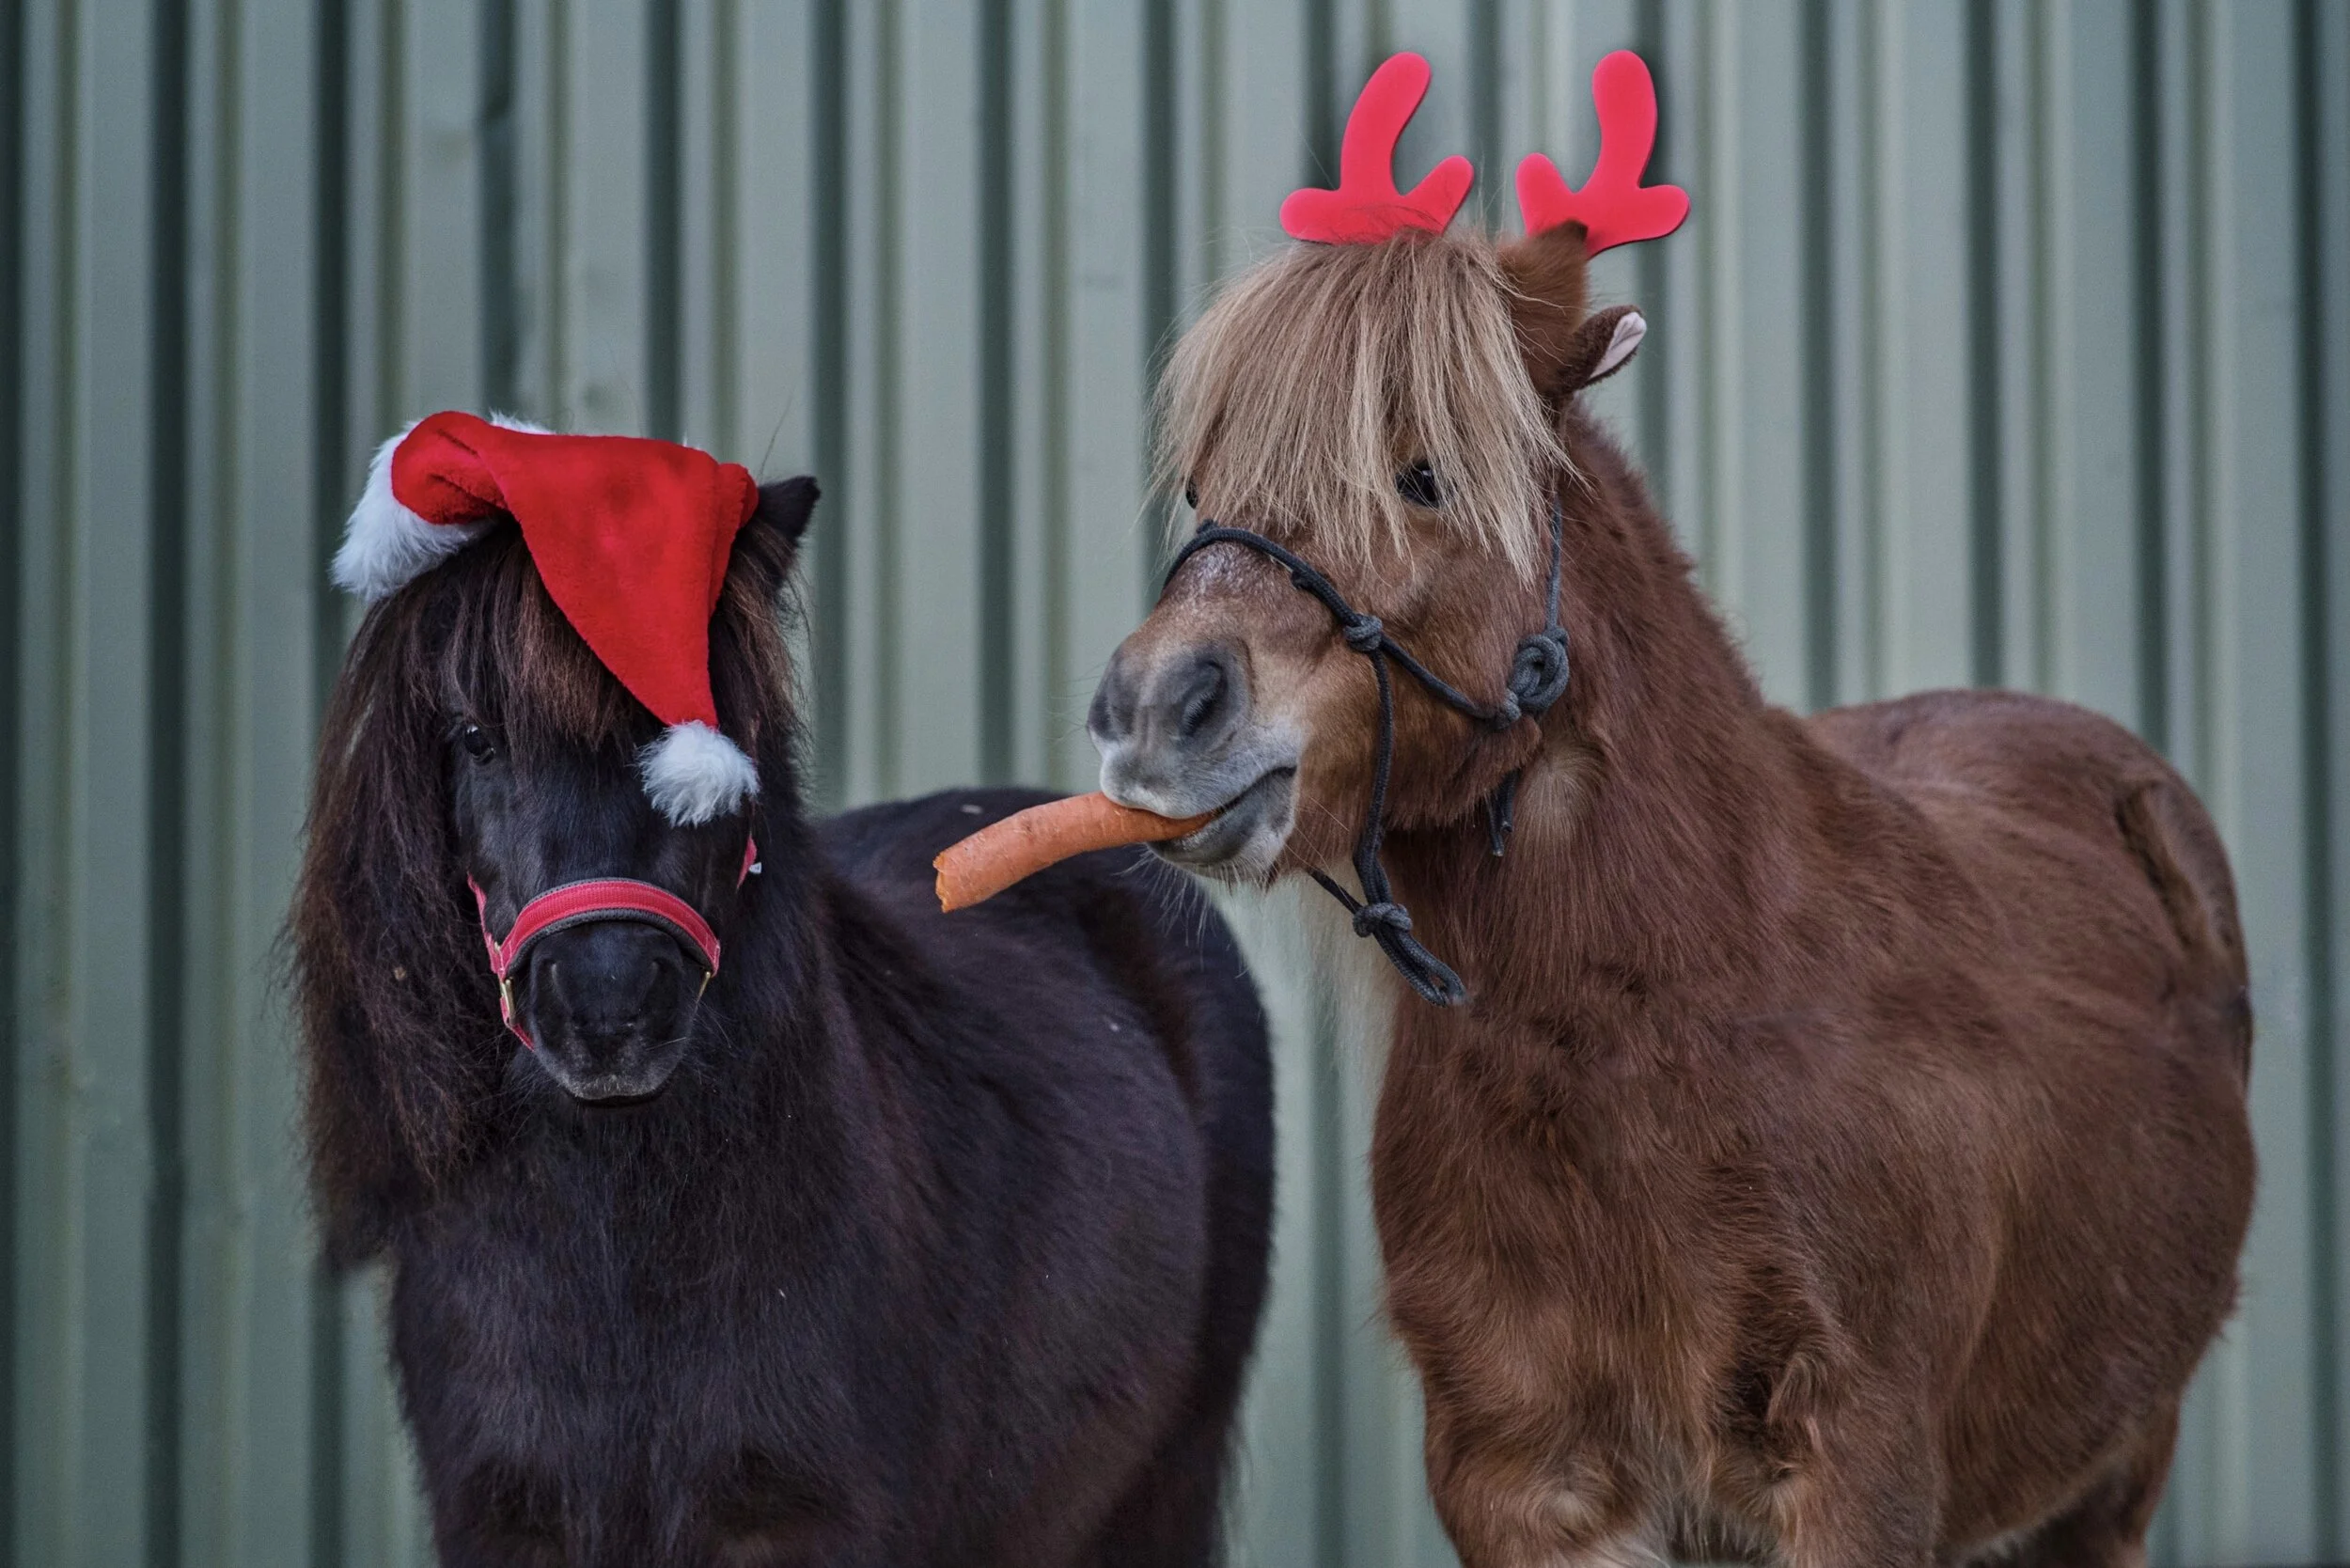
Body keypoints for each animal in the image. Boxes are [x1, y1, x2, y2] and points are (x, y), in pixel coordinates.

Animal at [1086, 217, 2255, 1563]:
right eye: (1201, 490)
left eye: (1423, 476)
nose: (1153, 712)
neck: (1657, 1041)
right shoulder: (1521, 1480)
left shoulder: (1858, 1473)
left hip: (2106, 1485)